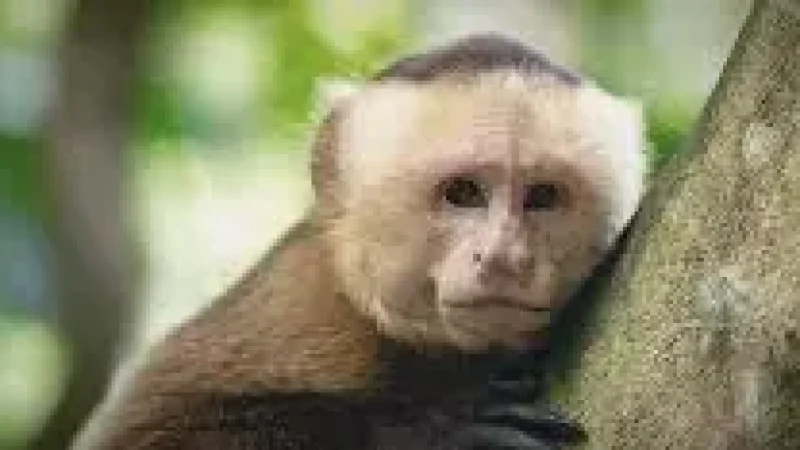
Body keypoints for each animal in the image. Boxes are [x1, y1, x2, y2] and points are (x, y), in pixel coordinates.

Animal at [90, 33, 645, 450]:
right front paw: (436, 431)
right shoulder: (305, 298)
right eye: (463, 192)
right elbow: (156, 431)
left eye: (543, 197)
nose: (504, 257)